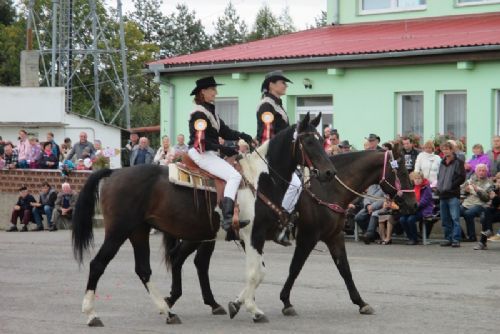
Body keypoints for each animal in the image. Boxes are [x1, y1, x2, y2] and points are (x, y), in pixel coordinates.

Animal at [71, 112, 336, 326]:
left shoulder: (250, 238)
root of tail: (114, 172)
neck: (260, 179)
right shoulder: (253, 234)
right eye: (309, 141)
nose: (329, 172)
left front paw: (238, 304)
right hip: (119, 231)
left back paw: (168, 312)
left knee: (144, 270)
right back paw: (92, 315)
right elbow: (256, 273)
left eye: (322, 139)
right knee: (98, 264)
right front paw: (252, 309)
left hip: (140, 231)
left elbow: (258, 272)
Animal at [162, 143, 416, 320]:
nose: (412, 204)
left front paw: (361, 302)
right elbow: (295, 269)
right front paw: (285, 302)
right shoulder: (308, 238)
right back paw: (175, 300)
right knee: (182, 259)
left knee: (195, 262)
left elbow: (345, 270)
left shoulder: (334, 237)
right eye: (403, 172)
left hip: (206, 235)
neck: (328, 189)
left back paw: (208, 303)